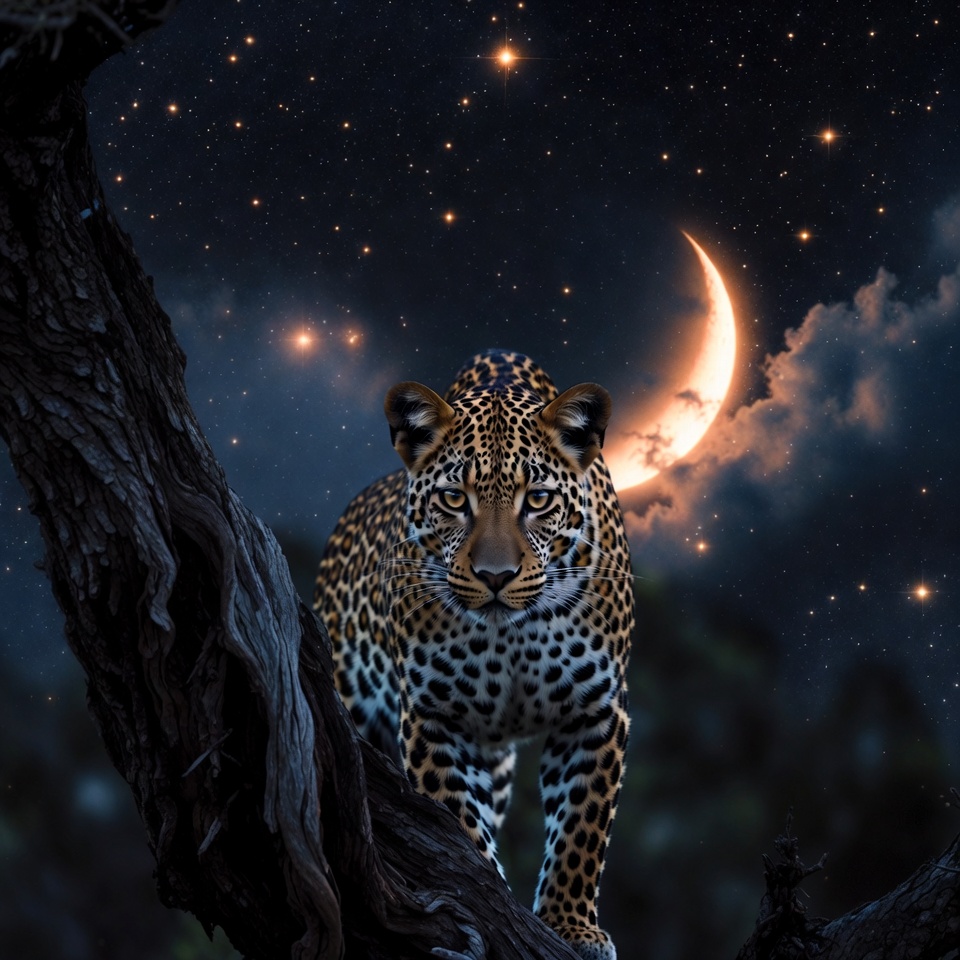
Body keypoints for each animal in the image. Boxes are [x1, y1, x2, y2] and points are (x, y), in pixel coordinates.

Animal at [315, 349, 634, 959]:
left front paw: (571, 927)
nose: (495, 577)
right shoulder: (433, 717)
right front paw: (493, 912)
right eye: (454, 499)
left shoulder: (596, 712)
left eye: (538, 500)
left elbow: (581, 831)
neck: (510, 634)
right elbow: (458, 828)